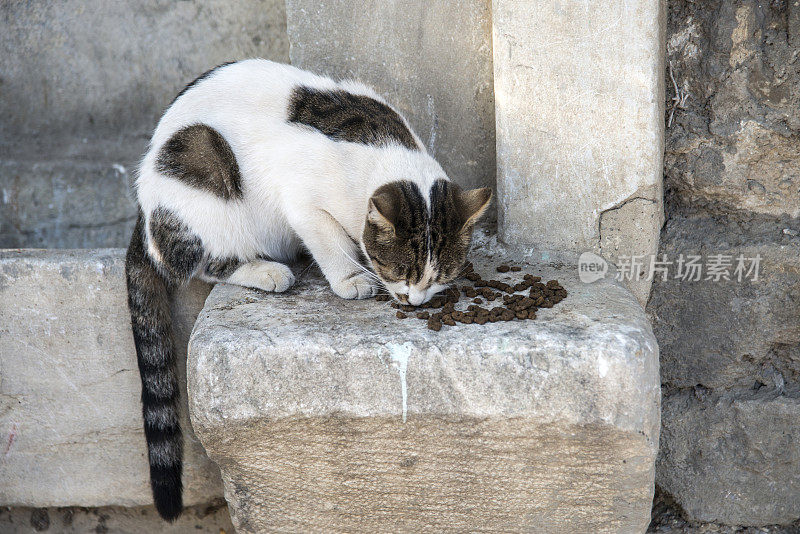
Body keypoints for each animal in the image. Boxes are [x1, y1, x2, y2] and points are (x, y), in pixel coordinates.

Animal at [126, 59, 490, 524]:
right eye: (397, 270)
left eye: (439, 276)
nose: (414, 301)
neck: (381, 153)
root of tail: (144, 212)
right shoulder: (302, 200)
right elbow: (328, 238)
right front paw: (350, 277)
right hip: (203, 167)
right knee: (198, 262)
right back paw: (266, 271)